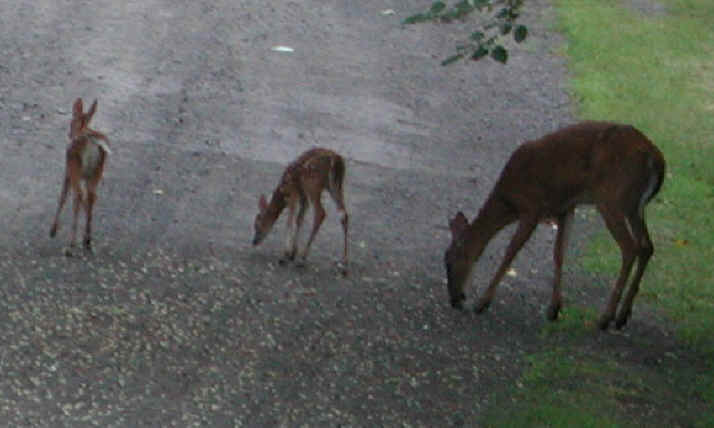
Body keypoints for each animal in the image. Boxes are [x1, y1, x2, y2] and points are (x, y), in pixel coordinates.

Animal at [49, 98, 111, 256]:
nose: (70, 134)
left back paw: (71, 245)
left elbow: (62, 196)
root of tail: (91, 141)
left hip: (76, 168)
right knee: (92, 197)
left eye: (71, 122)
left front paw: (53, 230)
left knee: (78, 195)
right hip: (97, 171)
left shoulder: (68, 170)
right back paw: (87, 240)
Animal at [444, 121, 666, 330]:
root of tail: (656, 158)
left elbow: (510, 253)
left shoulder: (532, 208)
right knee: (646, 246)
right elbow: (559, 254)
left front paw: (482, 303)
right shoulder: (565, 208)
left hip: (611, 198)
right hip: (634, 207)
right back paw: (622, 316)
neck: (508, 201)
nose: (455, 300)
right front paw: (554, 309)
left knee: (630, 247)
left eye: (449, 260)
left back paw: (606, 317)